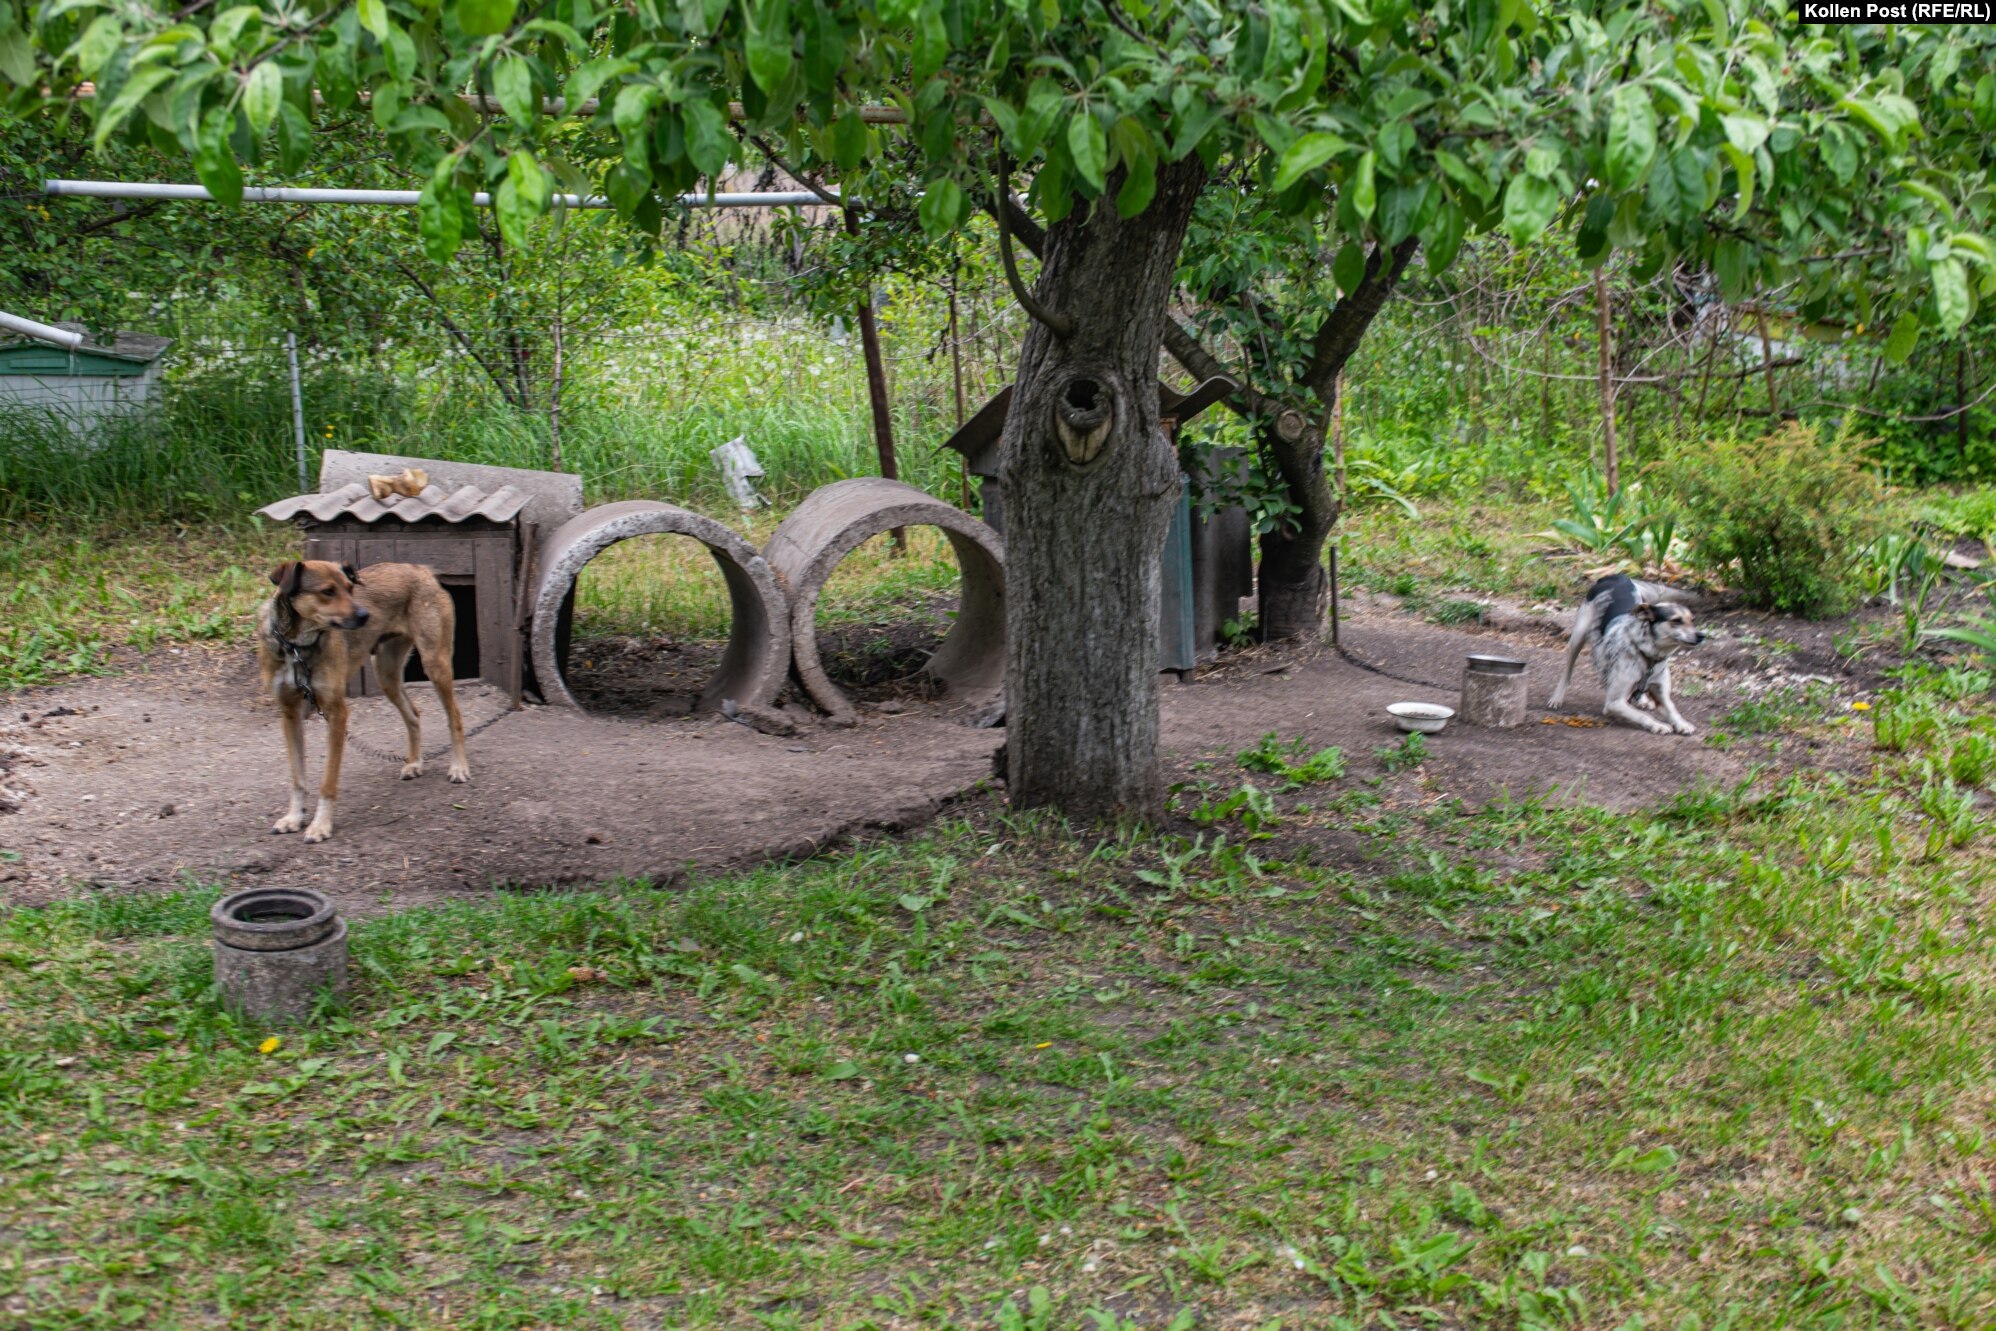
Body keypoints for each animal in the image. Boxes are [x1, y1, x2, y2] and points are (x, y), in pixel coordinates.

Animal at [257, 562, 471, 842]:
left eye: (350, 588)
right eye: (327, 591)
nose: (364, 615)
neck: (297, 646)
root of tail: (420, 569)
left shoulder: (336, 713)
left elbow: (327, 782)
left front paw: (320, 825)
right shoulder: (289, 714)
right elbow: (297, 778)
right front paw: (294, 818)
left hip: (435, 664)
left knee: (454, 715)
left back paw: (458, 767)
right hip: (386, 674)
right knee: (413, 715)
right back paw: (414, 763)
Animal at [1548, 574, 1708, 738]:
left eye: (1692, 620)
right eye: (1676, 620)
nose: (1701, 635)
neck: (1647, 654)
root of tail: (1616, 576)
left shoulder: (1662, 695)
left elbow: (1672, 710)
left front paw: (1682, 724)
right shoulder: (1614, 703)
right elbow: (1642, 715)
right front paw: (1658, 725)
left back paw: (1643, 699)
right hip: (1578, 635)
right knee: (1568, 670)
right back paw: (1557, 698)